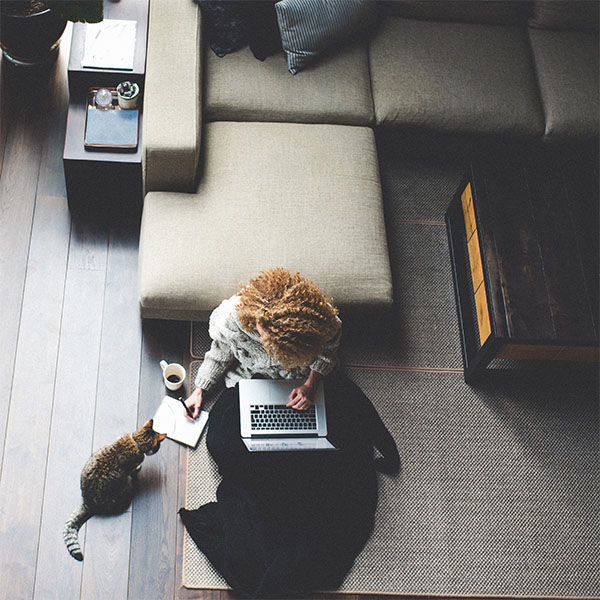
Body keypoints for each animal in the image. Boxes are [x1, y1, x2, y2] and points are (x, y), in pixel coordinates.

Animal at [62, 420, 166, 560]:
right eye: (158, 447)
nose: (158, 449)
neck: (136, 441)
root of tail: (88, 502)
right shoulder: (132, 466)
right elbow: (135, 467)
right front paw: (139, 467)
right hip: (126, 483)